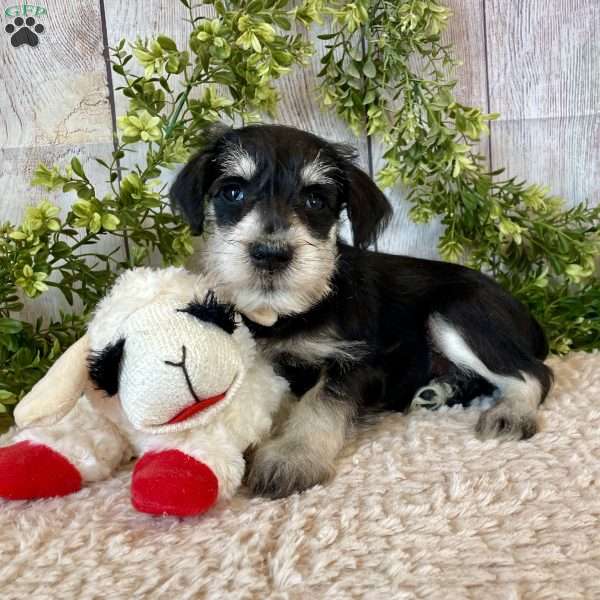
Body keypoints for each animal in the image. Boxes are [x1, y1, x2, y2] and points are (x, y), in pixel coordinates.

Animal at [170, 124, 552, 500]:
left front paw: (292, 457)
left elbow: (320, 401)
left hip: (456, 314)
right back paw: (436, 392)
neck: (286, 313)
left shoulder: (359, 360)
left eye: (315, 200)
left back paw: (510, 414)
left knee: (534, 373)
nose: (271, 254)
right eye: (232, 192)